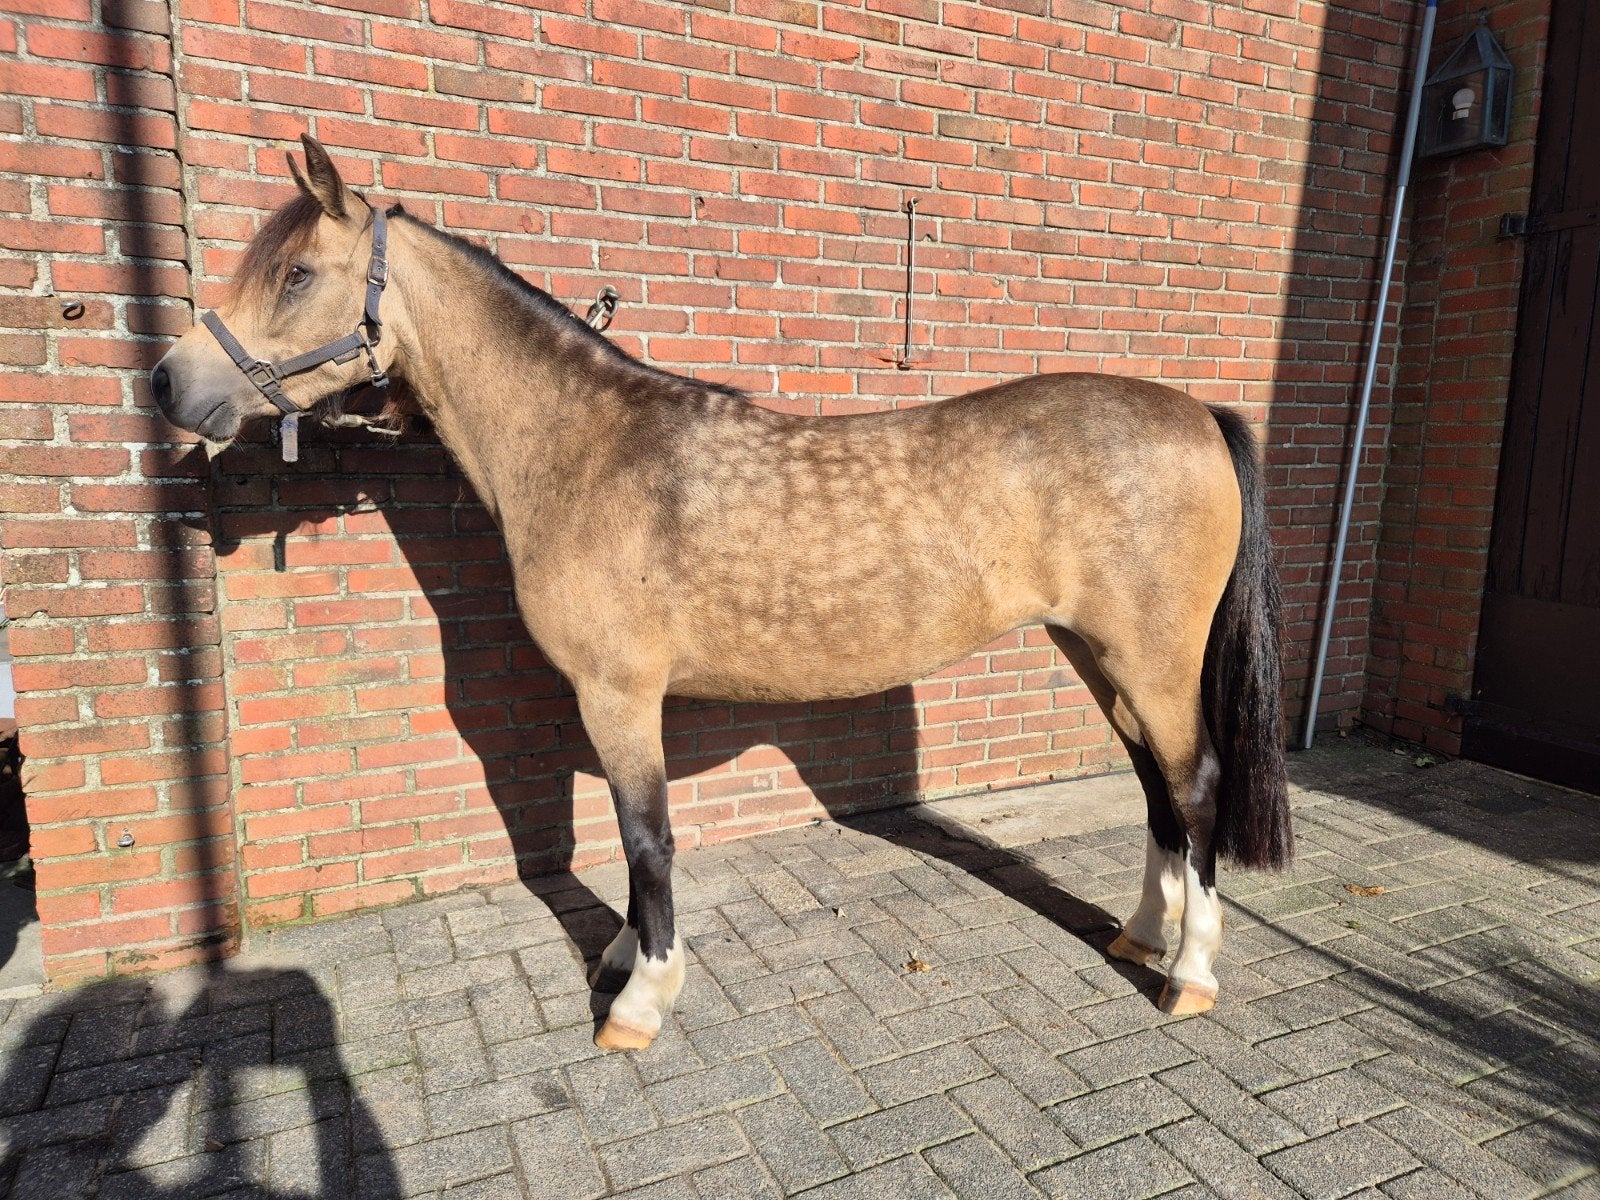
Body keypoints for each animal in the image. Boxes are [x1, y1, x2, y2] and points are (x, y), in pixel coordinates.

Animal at [152, 135, 1292, 1052]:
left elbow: (646, 840)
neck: (583, 451)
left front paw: (638, 1001)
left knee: (1194, 783)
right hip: (1096, 650)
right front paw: (622, 956)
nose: (170, 384)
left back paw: (1189, 974)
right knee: (1155, 786)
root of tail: (1199, 412)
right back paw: (1138, 934)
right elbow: (628, 843)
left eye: (298, 274)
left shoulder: (618, 694)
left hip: (1150, 655)